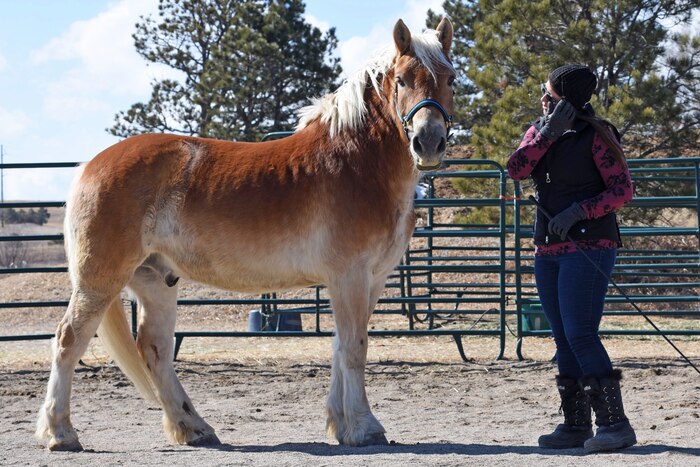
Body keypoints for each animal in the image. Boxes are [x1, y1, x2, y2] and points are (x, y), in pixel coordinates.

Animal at [36, 17, 455, 450]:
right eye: (402, 79)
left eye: (450, 79)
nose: (428, 141)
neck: (355, 162)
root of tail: (90, 166)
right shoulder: (350, 277)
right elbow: (355, 348)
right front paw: (363, 427)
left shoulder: (370, 280)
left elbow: (341, 347)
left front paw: (341, 425)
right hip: (99, 281)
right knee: (68, 340)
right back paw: (61, 433)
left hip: (155, 280)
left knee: (154, 348)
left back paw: (194, 427)